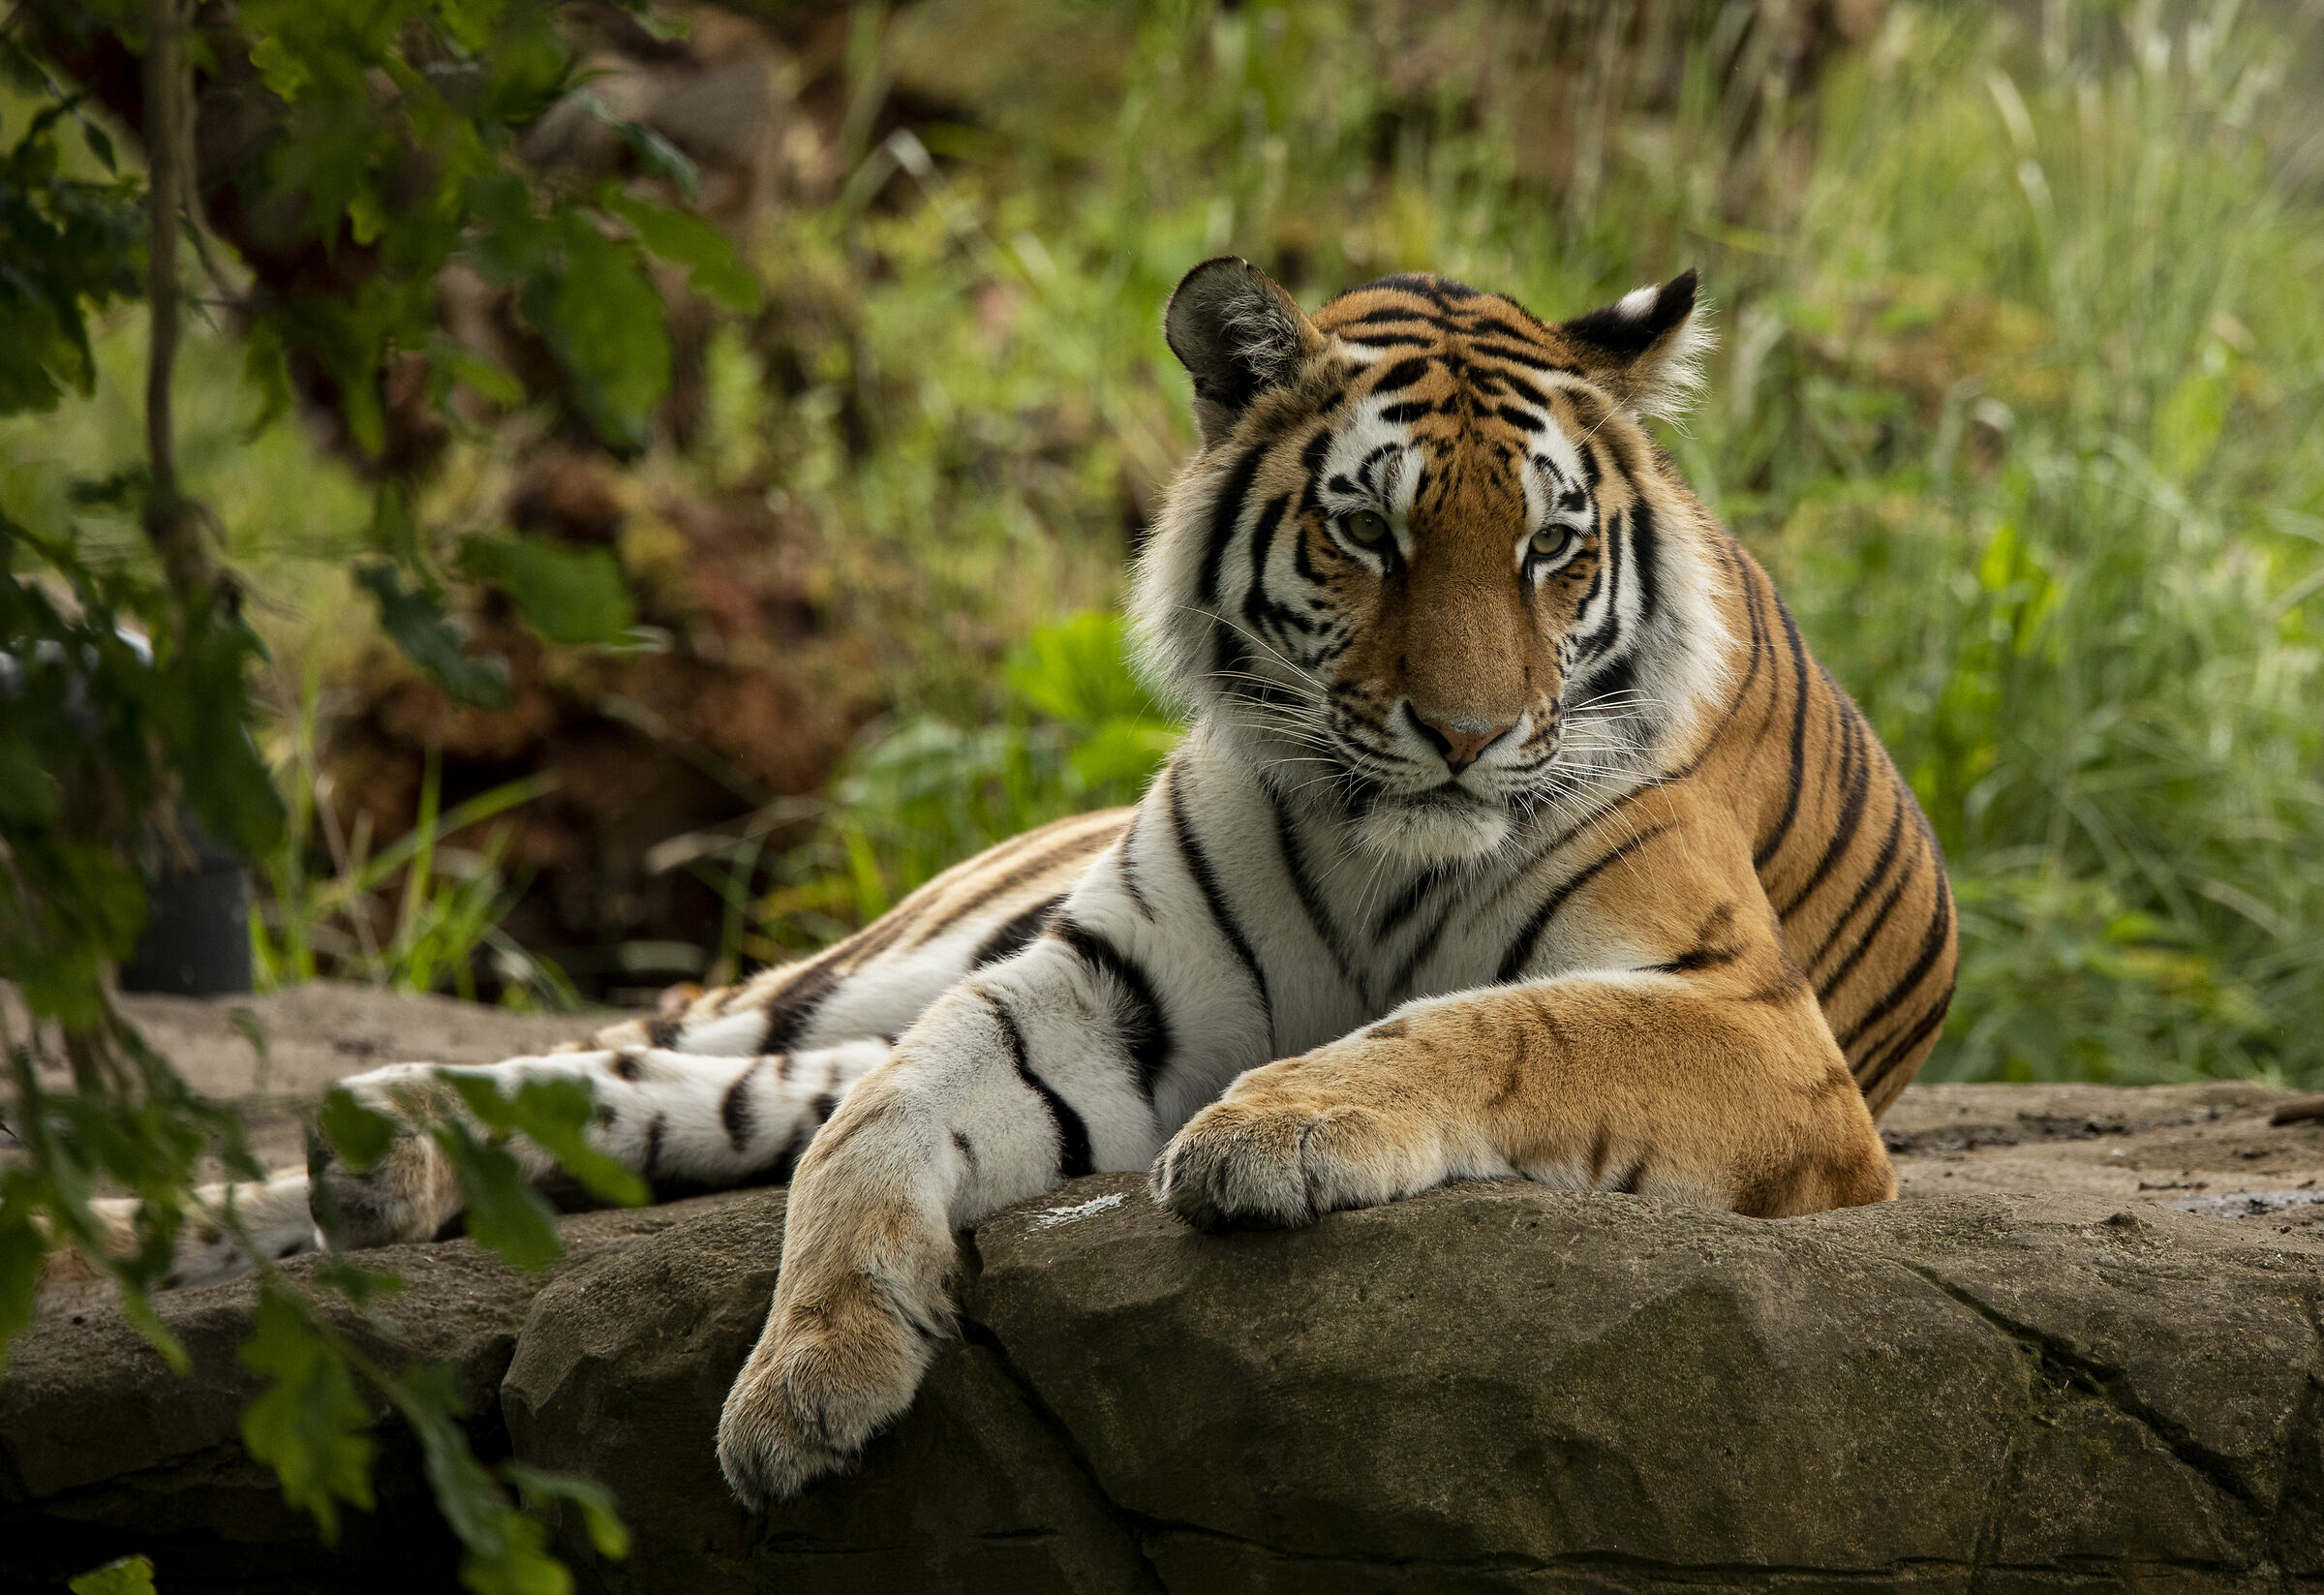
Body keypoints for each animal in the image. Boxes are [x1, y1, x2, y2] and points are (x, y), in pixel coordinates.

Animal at [49, 257, 1956, 1512]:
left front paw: (1276, 1131)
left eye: (1553, 549)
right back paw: (267, 1180)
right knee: (695, 1051)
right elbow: (888, 1120)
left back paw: (374, 1172)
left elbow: (1506, 1026)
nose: (1473, 735)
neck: (1378, 835)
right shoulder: (1102, 980)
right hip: (860, 962)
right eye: (1371, 533)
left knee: (701, 1095)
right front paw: (808, 1374)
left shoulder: (1754, 1022)